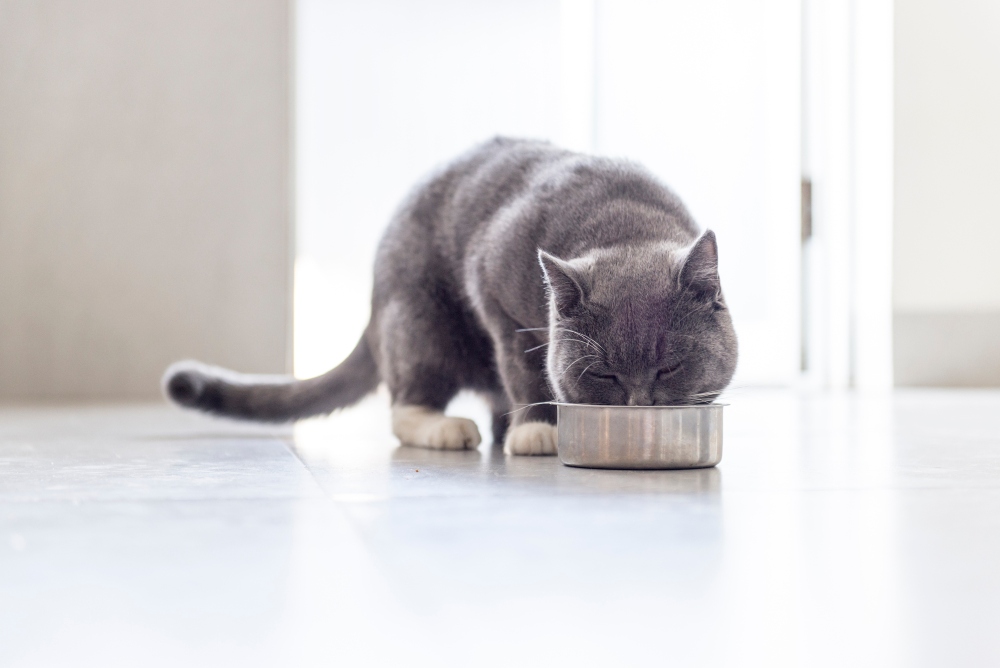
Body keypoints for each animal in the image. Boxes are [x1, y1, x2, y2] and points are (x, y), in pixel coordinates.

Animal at [164, 138, 740, 456]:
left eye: (669, 367)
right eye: (604, 375)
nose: (640, 406)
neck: (625, 224)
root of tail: (373, 308)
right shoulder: (495, 292)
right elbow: (524, 367)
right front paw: (538, 430)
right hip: (420, 320)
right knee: (406, 401)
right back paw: (448, 427)